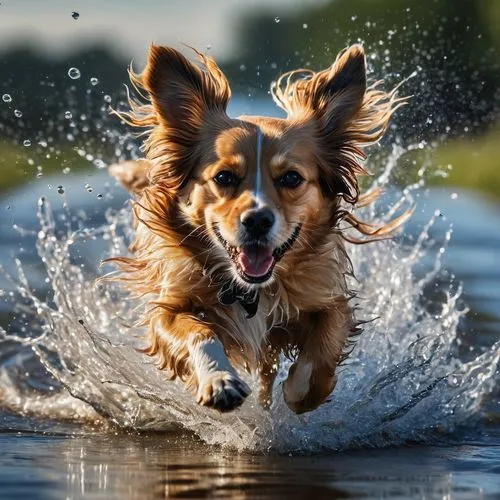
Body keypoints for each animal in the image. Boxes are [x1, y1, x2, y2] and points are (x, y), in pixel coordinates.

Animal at [106, 43, 406, 412]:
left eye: (291, 177)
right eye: (224, 177)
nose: (258, 220)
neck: (250, 291)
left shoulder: (328, 297)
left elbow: (323, 351)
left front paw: (298, 391)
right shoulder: (168, 306)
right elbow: (197, 332)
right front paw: (219, 379)